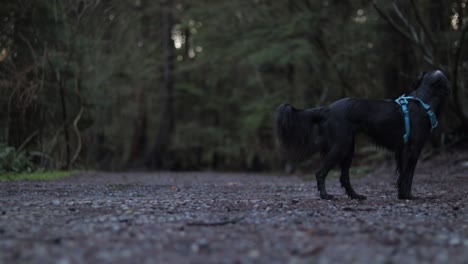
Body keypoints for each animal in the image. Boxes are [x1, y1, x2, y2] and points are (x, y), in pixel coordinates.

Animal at [276, 70, 452, 200]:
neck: (424, 100)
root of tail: (327, 108)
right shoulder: (413, 149)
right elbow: (408, 175)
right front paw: (408, 196)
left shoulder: (401, 151)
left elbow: (402, 175)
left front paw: (402, 195)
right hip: (341, 145)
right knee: (320, 172)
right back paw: (326, 196)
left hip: (348, 148)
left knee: (344, 177)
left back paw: (356, 196)